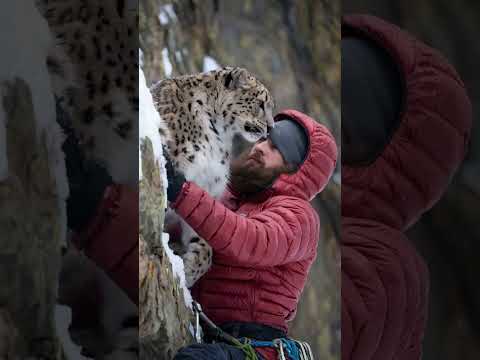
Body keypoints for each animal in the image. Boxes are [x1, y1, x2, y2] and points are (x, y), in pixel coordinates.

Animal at [152, 67, 276, 286]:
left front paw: (190, 270)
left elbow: (206, 243)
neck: (218, 138)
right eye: (260, 103)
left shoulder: (207, 188)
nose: (271, 128)